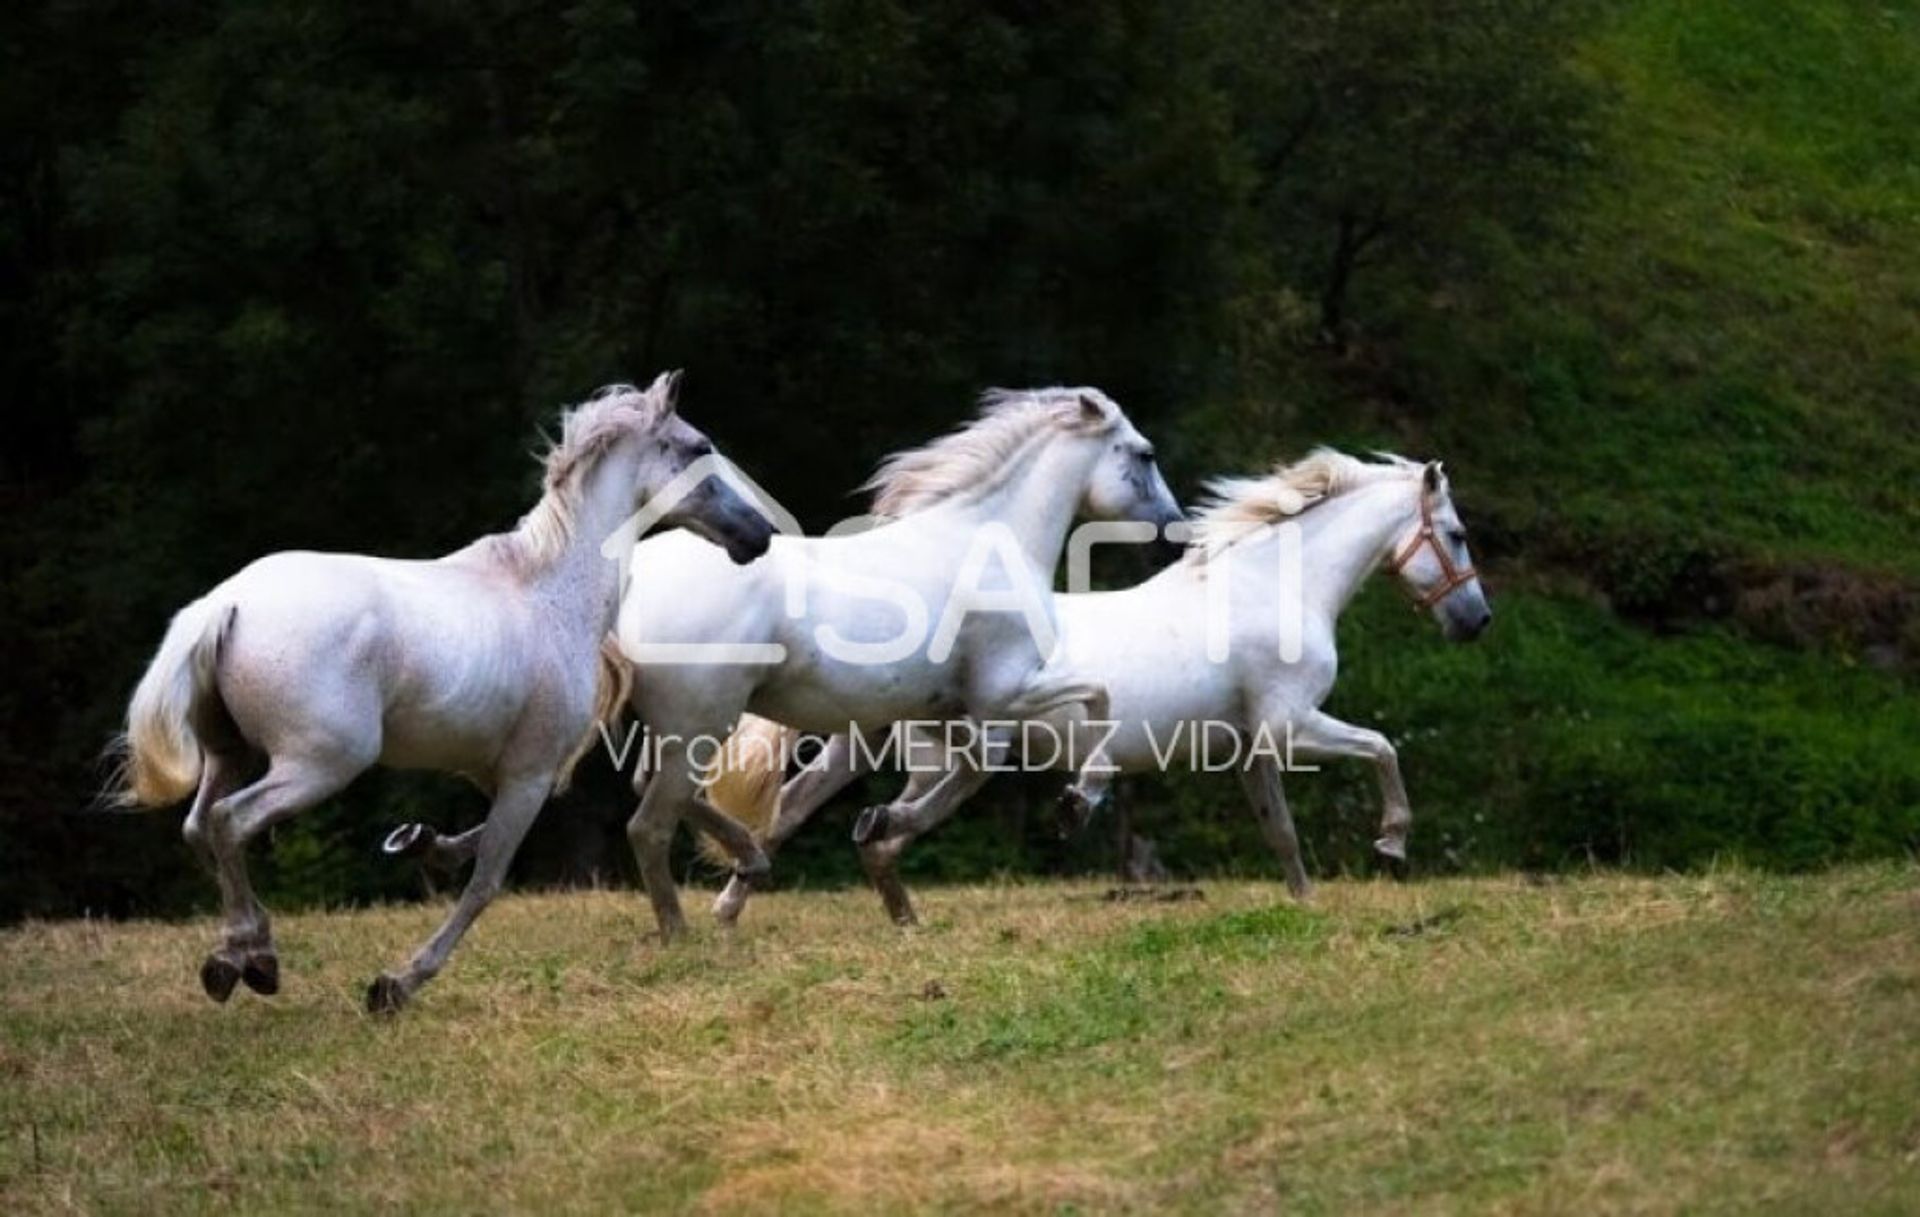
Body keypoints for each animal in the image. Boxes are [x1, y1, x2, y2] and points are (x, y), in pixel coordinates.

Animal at [110, 374, 771, 1005]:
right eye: (699, 448)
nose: (758, 534)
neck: (550, 593)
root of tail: (226, 604)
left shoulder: (499, 770)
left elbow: (478, 848)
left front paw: (422, 846)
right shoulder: (529, 773)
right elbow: (485, 881)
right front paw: (396, 985)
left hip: (231, 754)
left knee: (199, 827)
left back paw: (246, 957)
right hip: (319, 765)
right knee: (229, 822)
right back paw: (245, 958)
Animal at [614, 383, 1182, 932]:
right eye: (1146, 454)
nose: (1174, 532)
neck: (989, 544)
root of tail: (631, 582)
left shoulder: (944, 710)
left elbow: (979, 765)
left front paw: (882, 827)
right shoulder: (1005, 691)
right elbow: (1097, 698)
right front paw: (1075, 806)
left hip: (696, 724)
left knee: (681, 791)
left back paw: (746, 884)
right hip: (703, 719)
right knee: (652, 819)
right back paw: (685, 926)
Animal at [702, 451, 1482, 925]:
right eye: (1457, 533)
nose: (1476, 620)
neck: (1270, 591)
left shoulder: (1251, 748)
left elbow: (1282, 834)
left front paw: (1305, 904)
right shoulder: (1293, 724)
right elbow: (1382, 748)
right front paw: (1392, 845)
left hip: (866, 739)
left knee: (791, 808)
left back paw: (733, 909)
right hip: (937, 751)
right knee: (868, 818)